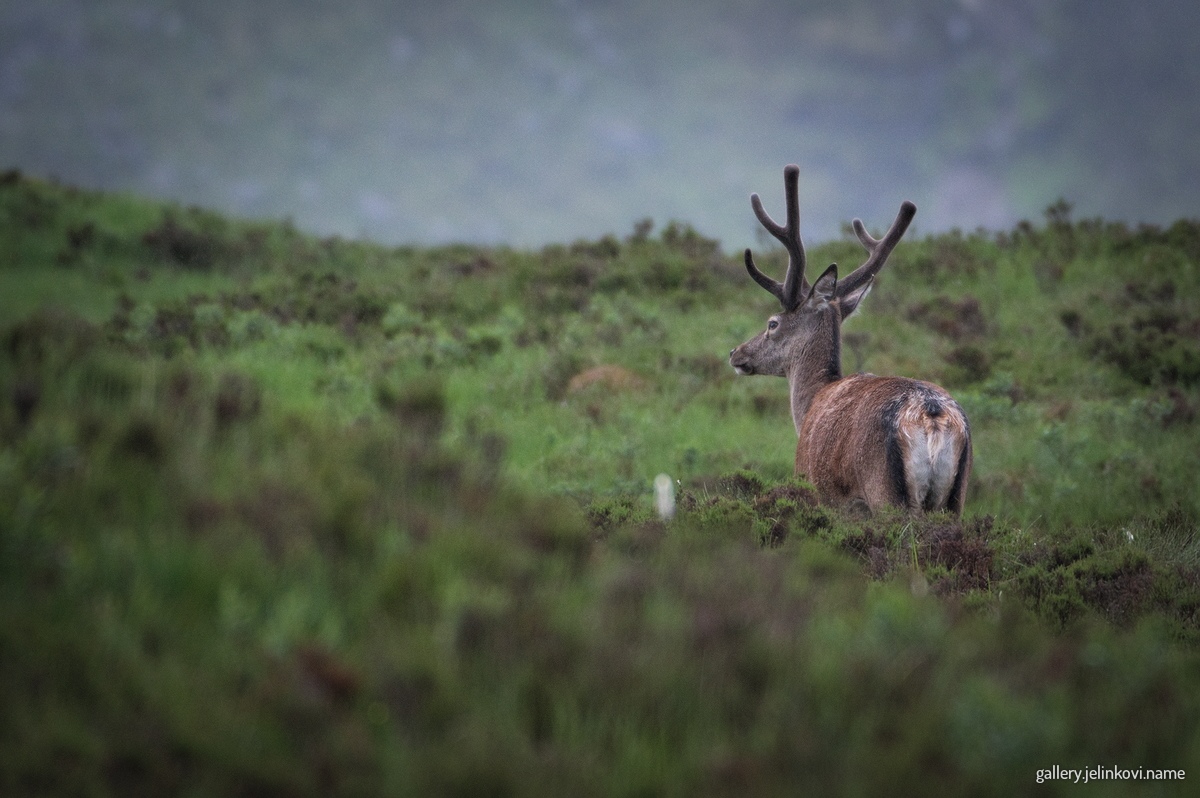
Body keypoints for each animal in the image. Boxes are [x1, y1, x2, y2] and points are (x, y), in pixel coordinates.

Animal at [729, 165, 971, 516]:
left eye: (772, 323)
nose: (736, 352)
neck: (809, 405)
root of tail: (932, 415)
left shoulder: (819, 490)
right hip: (955, 498)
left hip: (885, 493)